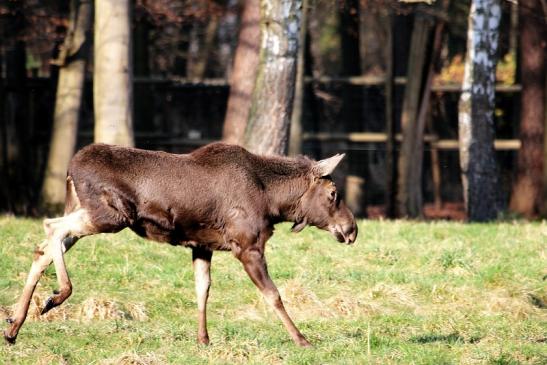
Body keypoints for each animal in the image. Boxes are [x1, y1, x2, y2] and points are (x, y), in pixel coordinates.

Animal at [4, 141, 358, 346]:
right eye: (333, 194)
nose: (351, 230)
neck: (273, 202)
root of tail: (69, 168)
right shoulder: (247, 246)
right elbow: (273, 295)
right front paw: (302, 340)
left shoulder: (202, 245)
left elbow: (202, 290)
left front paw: (203, 339)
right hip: (110, 214)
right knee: (52, 228)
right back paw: (56, 296)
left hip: (89, 211)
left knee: (43, 247)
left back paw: (14, 324)